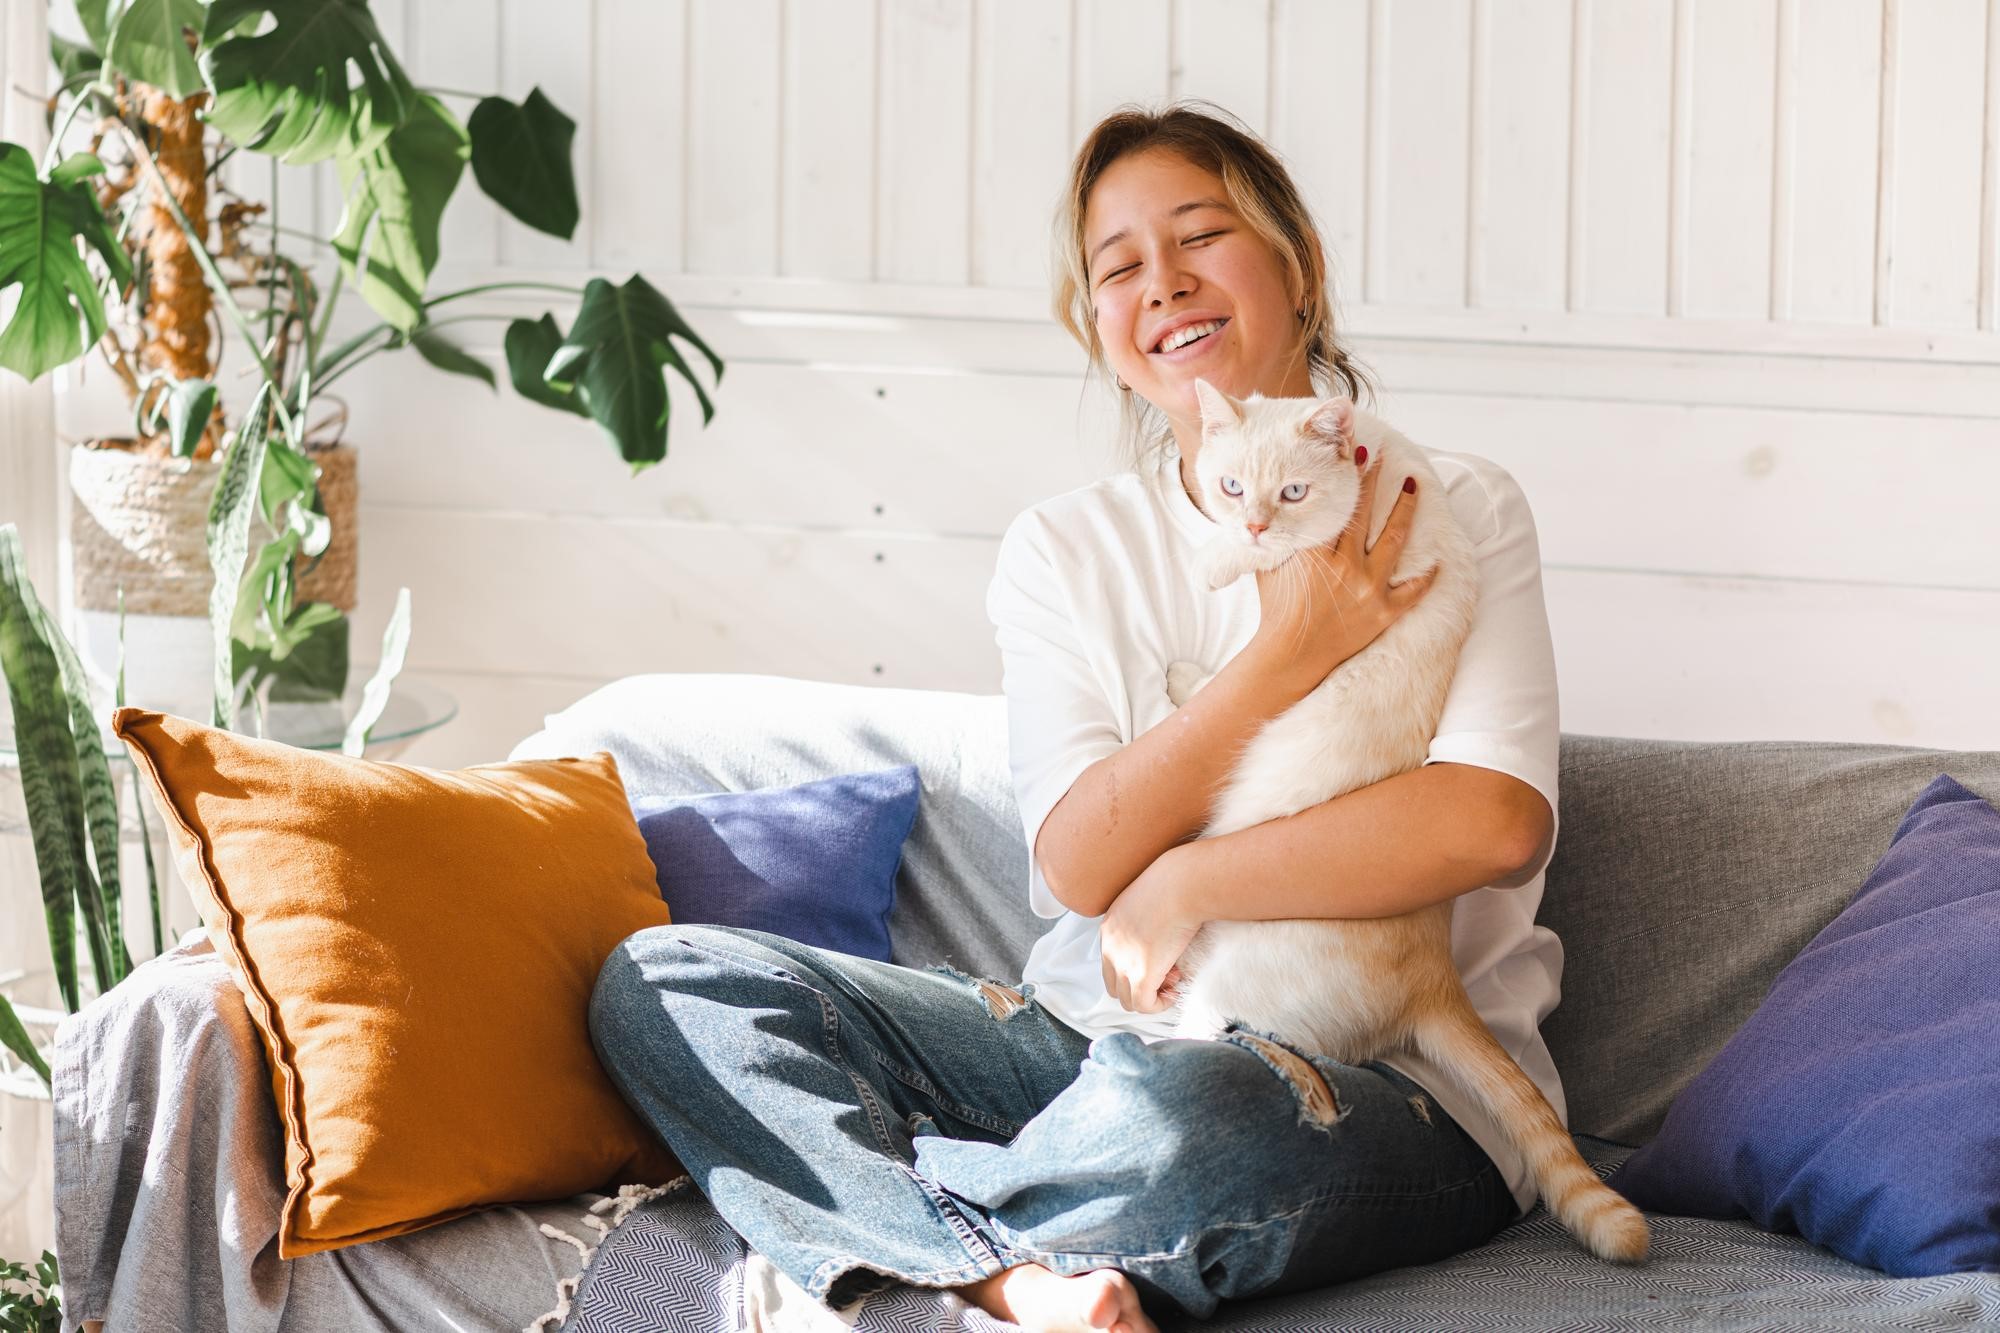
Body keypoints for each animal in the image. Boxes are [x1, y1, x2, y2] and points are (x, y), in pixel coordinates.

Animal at [1168, 370, 1648, 1256]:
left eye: (1291, 492)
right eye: (1231, 485)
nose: (1252, 520)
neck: (1379, 461)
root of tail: (1438, 972)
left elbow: (1252, 604)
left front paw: (1217, 565)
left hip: (1226, 994)